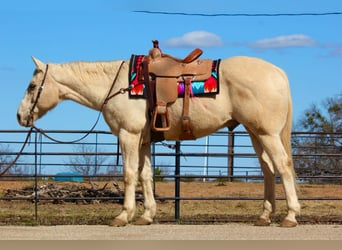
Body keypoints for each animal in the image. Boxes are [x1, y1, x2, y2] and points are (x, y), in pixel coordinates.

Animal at [16, 55, 300, 228]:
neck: (117, 86)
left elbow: (130, 174)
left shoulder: (128, 135)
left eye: (31, 86)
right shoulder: (143, 141)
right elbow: (146, 175)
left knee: (283, 166)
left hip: (267, 133)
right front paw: (147, 216)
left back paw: (290, 216)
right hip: (255, 133)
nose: (20, 116)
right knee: (268, 170)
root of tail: (277, 72)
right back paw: (264, 216)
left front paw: (123, 216)